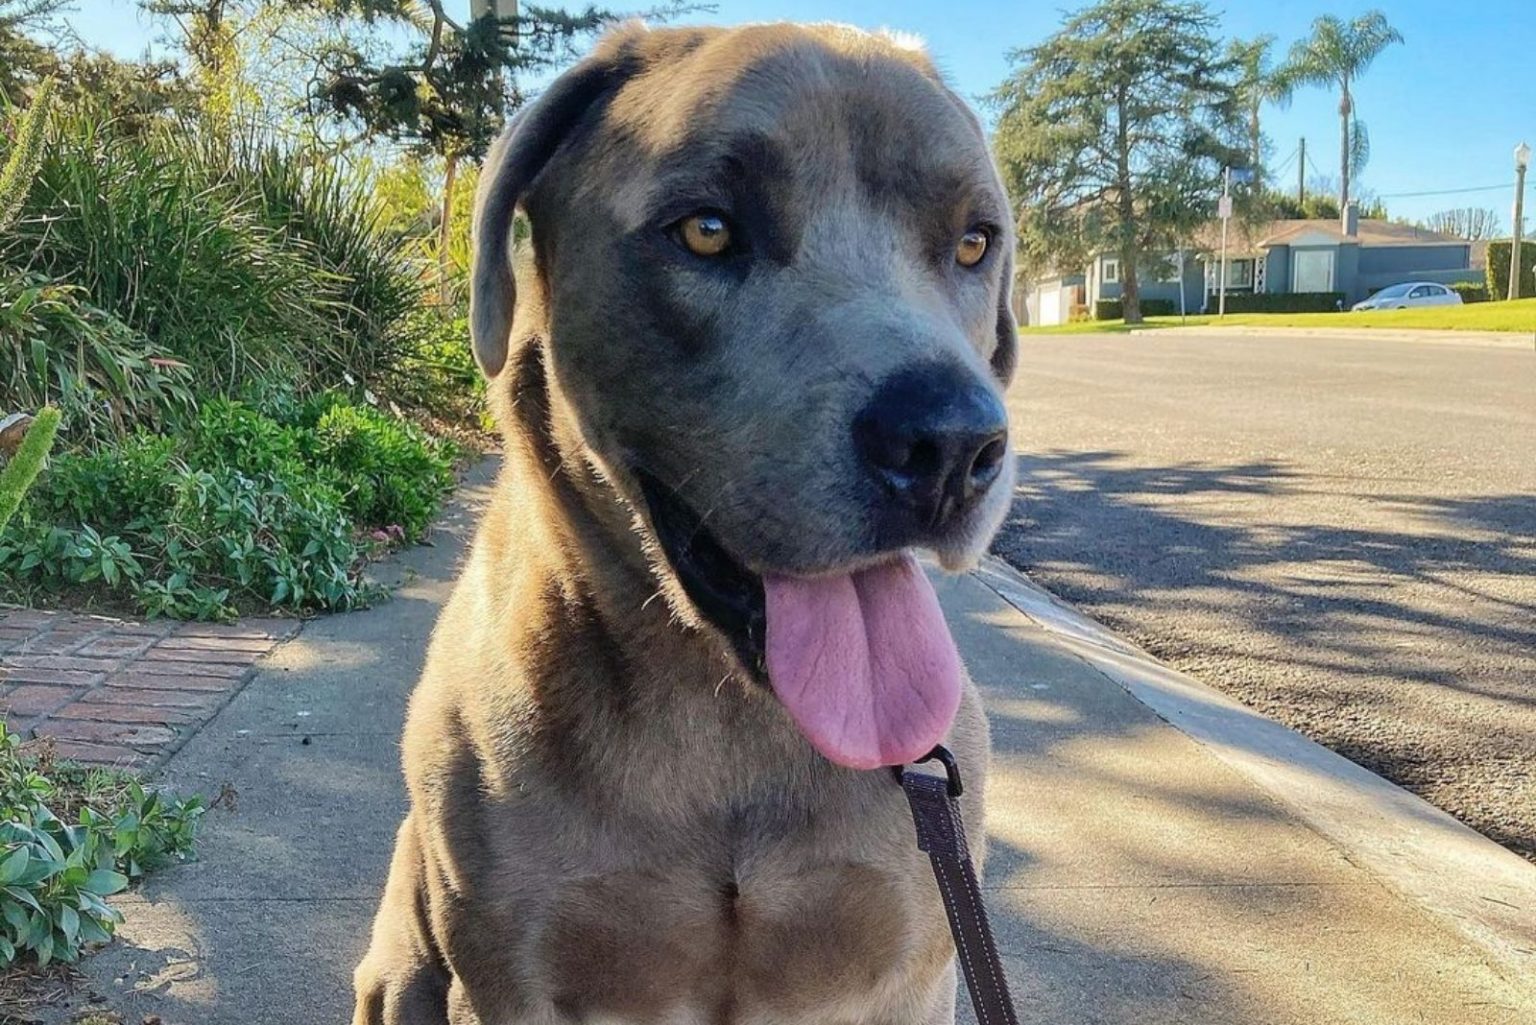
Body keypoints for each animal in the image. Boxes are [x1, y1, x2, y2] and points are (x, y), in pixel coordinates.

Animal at [353, 24, 1013, 1025]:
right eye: (707, 228)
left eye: (975, 241)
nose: (949, 442)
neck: (725, 711)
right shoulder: (509, 971)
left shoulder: (915, 962)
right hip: (399, 964)